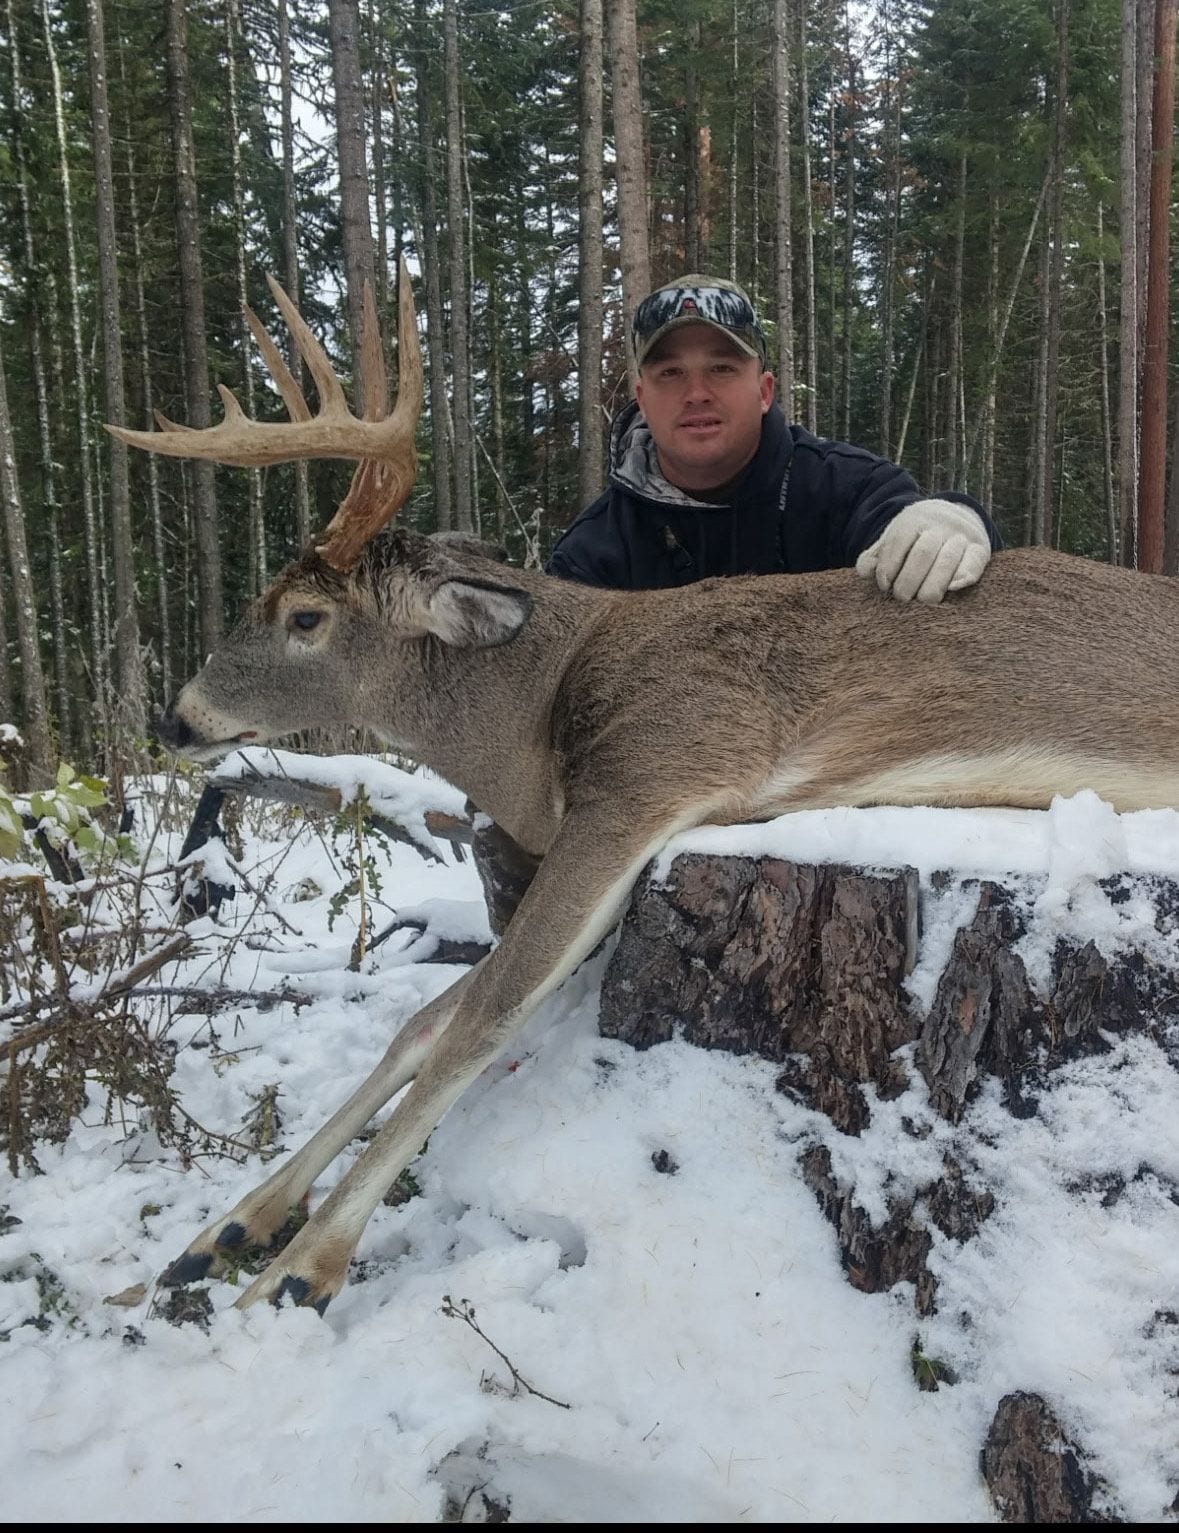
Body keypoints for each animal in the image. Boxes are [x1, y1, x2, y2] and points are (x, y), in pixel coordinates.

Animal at [112, 259, 1179, 1317]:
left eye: (303, 616)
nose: (177, 718)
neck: (536, 715)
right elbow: (429, 1018)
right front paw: (221, 1232)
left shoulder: (654, 772)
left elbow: (481, 1015)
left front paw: (299, 1269)